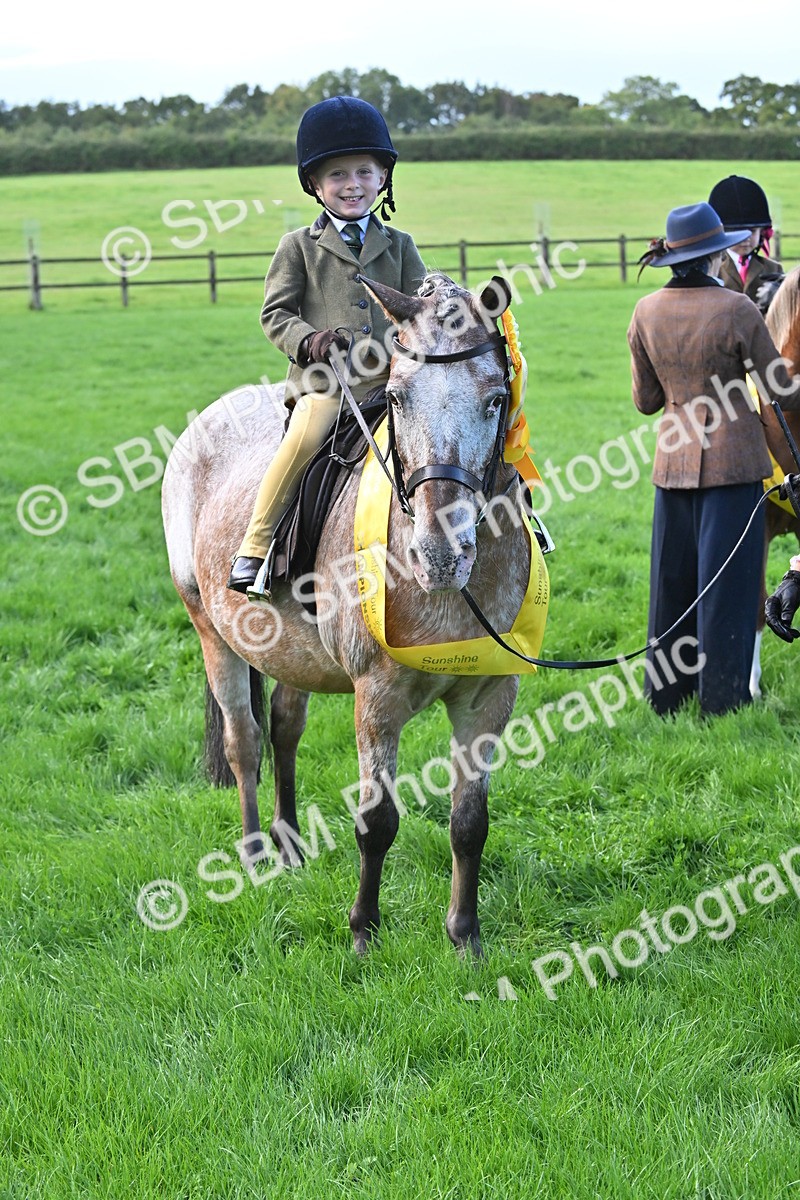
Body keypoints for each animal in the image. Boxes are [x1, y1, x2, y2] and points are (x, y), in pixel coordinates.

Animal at [161, 272, 537, 956]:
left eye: (496, 398)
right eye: (396, 397)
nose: (439, 552)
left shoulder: (489, 696)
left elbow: (469, 821)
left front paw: (464, 937)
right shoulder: (377, 698)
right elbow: (377, 820)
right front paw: (364, 932)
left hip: (290, 651)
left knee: (283, 729)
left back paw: (287, 843)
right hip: (210, 631)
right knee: (243, 741)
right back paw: (255, 852)